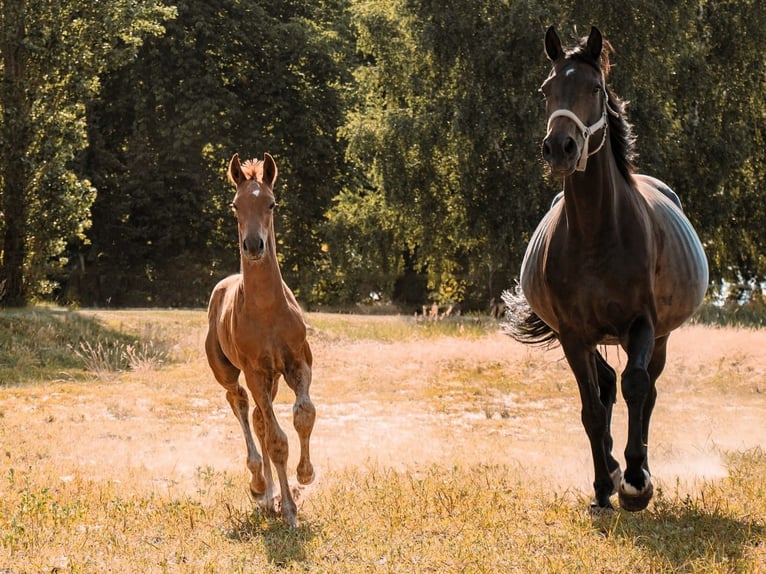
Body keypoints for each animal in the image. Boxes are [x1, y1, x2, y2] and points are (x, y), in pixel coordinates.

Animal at [205, 153, 316, 527]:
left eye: (271, 203)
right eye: (235, 205)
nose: (253, 245)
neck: (267, 311)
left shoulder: (298, 364)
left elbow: (304, 415)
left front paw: (305, 475)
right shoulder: (255, 372)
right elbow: (276, 440)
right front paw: (289, 511)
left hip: (272, 380)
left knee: (256, 418)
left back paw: (269, 495)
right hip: (230, 373)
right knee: (239, 404)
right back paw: (259, 487)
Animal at [504, 26, 708, 512]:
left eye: (595, 88)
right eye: (546, 90)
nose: (560, 148)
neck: (597, 233)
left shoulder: (641, 324)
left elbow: (636, 387)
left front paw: (637, 482)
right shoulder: (573, 335)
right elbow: (593, 408)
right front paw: (603, 484)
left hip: (660, 337)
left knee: (645, 390)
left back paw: (638, 470)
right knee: (607, 384)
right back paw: (611, 471)